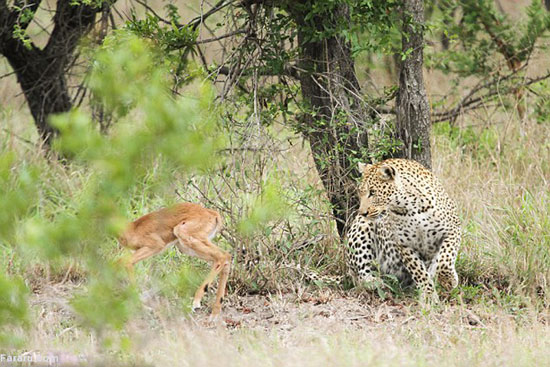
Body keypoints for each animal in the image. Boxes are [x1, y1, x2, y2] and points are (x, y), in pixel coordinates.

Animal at [350, 158, 462, 300]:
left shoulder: (453, 229)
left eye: (373, 192)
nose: (362, 212)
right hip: (363, 228)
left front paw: (448, 279)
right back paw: (375, 282)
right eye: (360, 192)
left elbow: (445, 258)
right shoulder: (404, 244)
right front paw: (428, 295)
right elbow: (418, 271)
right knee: (359, 272)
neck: (409, 208)